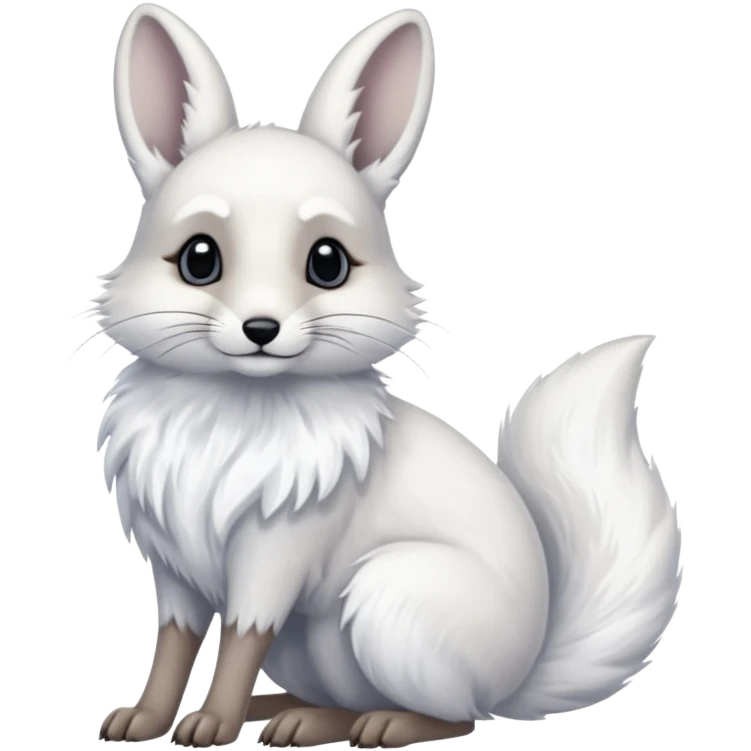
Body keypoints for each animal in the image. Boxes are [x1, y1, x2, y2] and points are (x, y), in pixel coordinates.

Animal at [92, 3, 683, 749]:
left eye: (328, 264)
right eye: (199, 259)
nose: (261, 329)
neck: (236, 404)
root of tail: (520, 672)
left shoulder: (273, 556)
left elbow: (242, 636)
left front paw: (212, 722)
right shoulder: (171, 566)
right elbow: (173, 642)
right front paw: (143, 718)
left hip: (384, 600)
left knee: (457, 714)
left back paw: (379, 723)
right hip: (316, 644)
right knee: (345, 698)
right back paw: (291, 714)